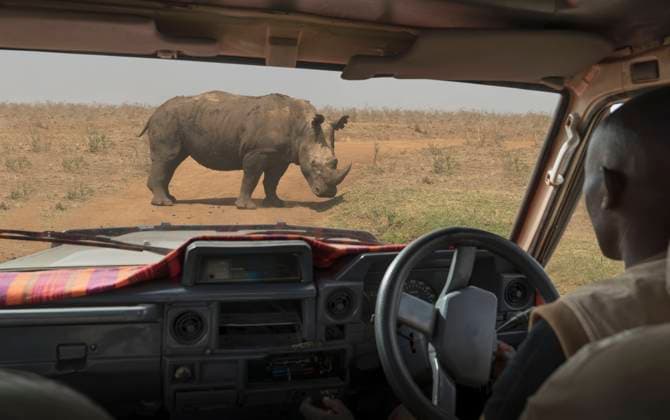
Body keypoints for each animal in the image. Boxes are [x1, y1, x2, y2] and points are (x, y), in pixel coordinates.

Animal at [139, 91, 351, 209]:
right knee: (168, 158)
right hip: (167, 120)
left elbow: (273, 180)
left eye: (335, 162)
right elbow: (251, 177)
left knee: (173, 161)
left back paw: (170, 199)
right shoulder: (257, 151)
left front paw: (276, 203)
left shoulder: (281, 155)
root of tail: (153, 112)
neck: (302, 127)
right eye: (313, 164)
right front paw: (247, 207)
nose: (327, 193)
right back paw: (164, 203)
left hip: (176, 121)